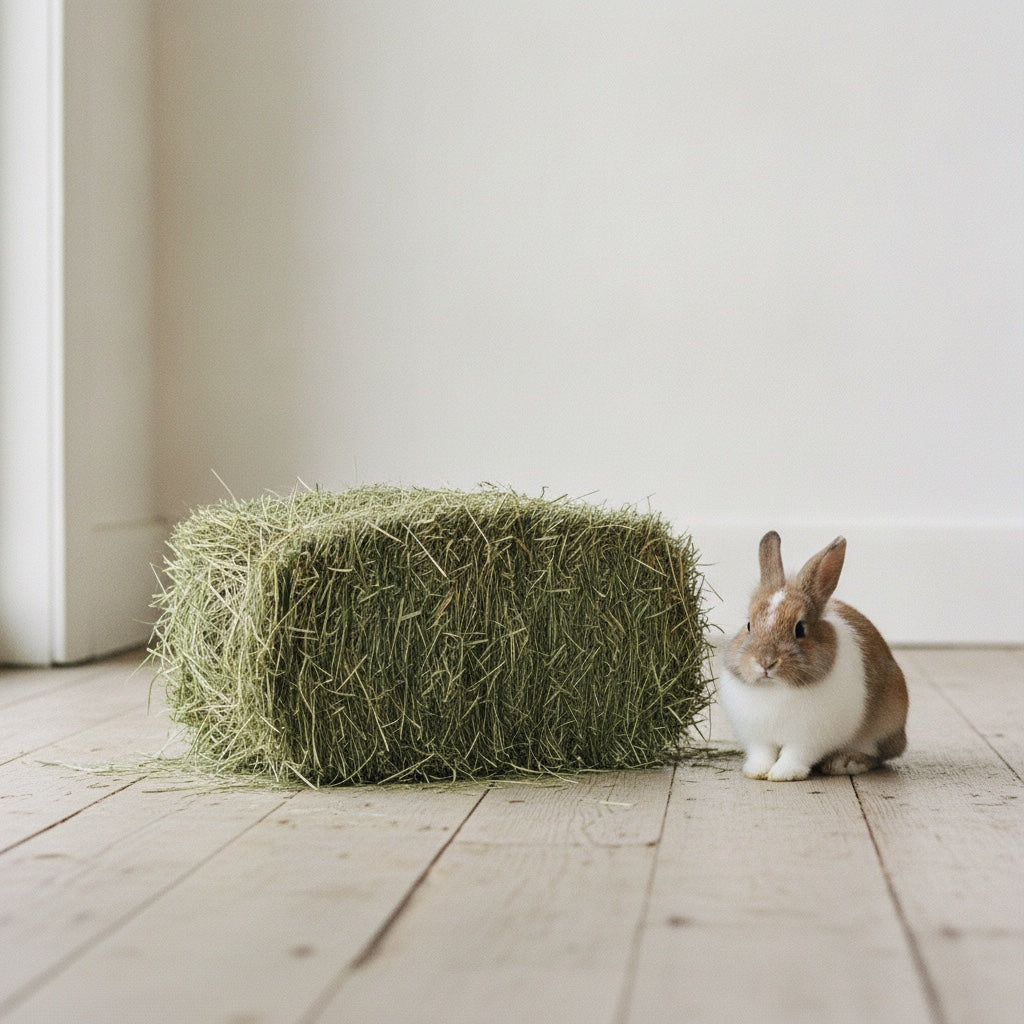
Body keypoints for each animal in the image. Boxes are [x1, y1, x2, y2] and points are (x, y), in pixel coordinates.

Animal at [717, 531, 908, 781]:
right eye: (748, 625)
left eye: (800, 629)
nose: (765, 662)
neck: (774, 689)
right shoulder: (759, 738)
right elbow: (762, 754)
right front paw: (757, 772)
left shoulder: (807, 740)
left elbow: (794, 756)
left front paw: (782, 774)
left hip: (883, 726)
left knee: (876, 756)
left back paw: (844, 763)